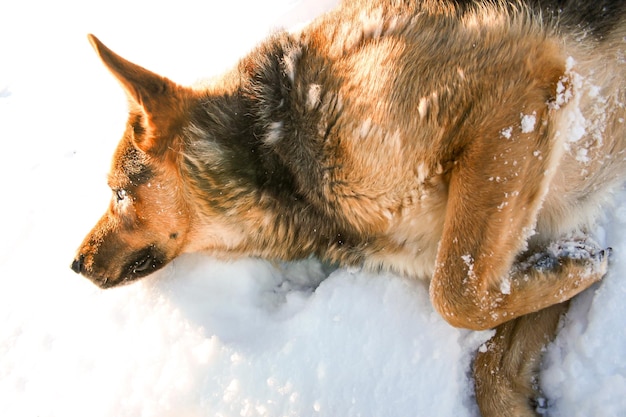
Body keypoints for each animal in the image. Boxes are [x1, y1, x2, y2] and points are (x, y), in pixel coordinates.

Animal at [69, 1, 624, 414]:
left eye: (119, 193)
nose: (74, 265)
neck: (274, 144)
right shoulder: (529, 224)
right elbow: (491, 364)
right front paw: (570, 267)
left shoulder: (513, 104)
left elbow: (454, 296)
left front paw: (587, 267)